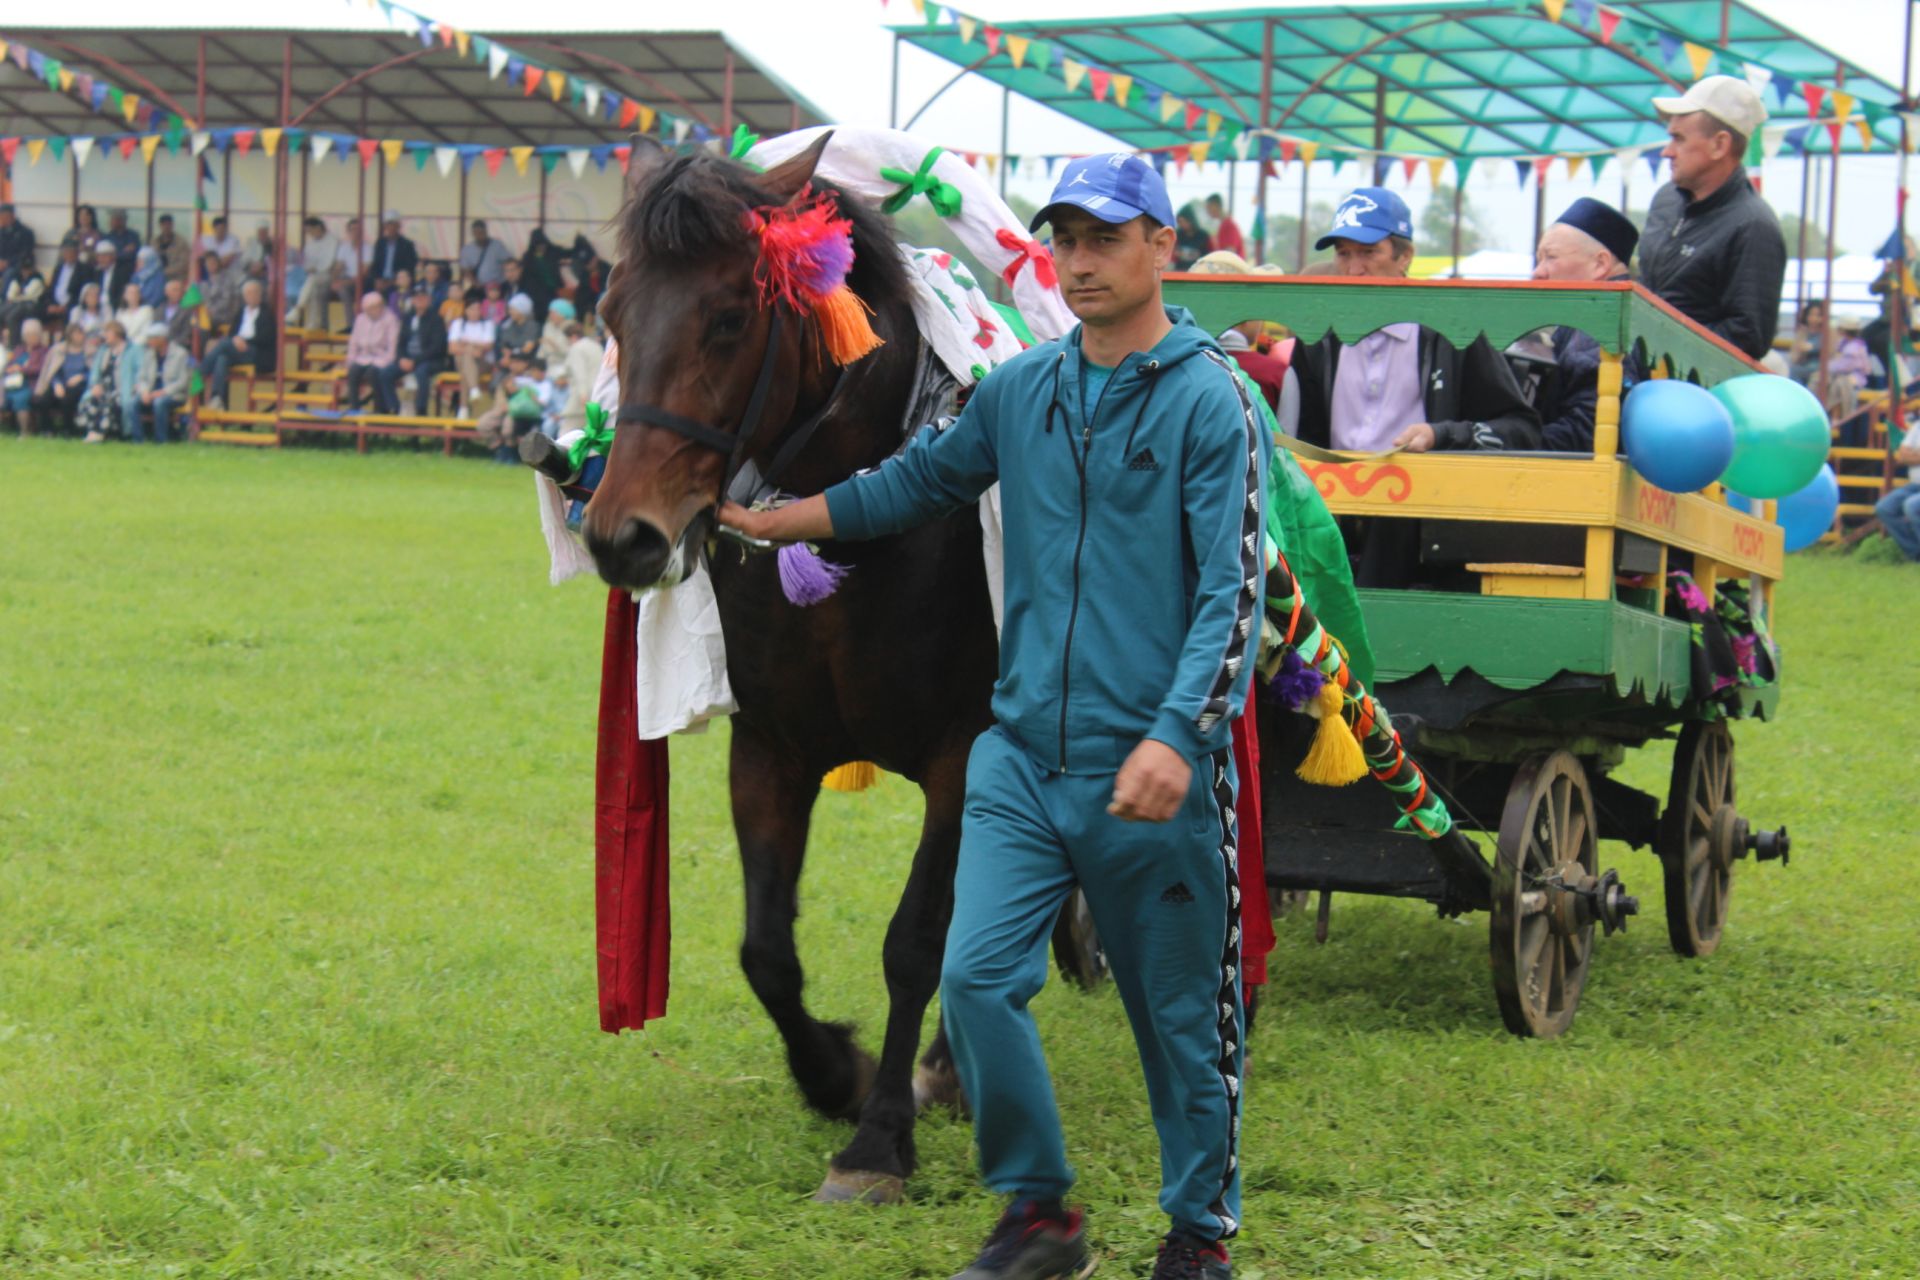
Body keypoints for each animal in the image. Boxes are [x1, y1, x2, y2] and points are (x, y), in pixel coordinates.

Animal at [587, 132, 998, 1205]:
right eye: (611, 312)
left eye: (730, 315)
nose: (621, 536)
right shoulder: (770, 746)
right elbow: (765, 951)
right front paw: (835, 1075)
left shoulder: (965, 751)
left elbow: (916, 940)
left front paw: (879, 1138)